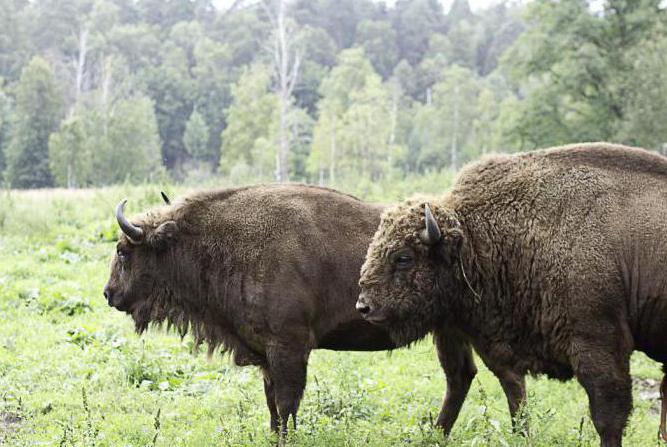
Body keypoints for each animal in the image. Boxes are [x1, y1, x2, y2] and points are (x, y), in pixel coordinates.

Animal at [104, 184, 512, 436]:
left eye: (123, 251)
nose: (109, 294)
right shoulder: (267, 354)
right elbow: (272, 404)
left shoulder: (289, 347)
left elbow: (287, 403)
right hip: (449, 331)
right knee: (460, 377)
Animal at [358, 144, 667, 447]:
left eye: (403, 257)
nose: (364, 306)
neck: (475, 239)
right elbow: (516, 403)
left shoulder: (598, 344)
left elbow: (607, 416)